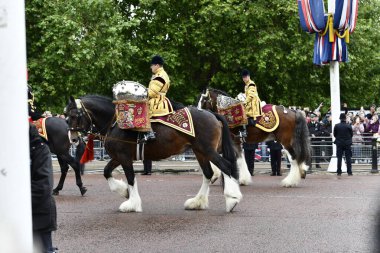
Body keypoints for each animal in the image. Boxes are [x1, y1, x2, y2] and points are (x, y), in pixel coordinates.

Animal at [65, 95, 242, 211]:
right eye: (66, 116)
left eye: (74, 115)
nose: (72, 139)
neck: (116, 123)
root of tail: (211, 114)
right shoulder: (118, 157)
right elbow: (107, 172)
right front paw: (124, 192)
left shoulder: (124, 157)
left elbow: (131, 178)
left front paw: (132, 204)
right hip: (200, 151)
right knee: (208, 173)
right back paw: (197, 202)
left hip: (207, 150)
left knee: (226, 166)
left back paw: (232, 200)